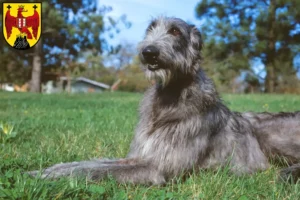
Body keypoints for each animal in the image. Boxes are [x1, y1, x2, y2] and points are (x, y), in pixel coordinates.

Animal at [28, 16, 300, 184]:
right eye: (150, 28)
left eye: (175, 31)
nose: (148, 52)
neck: (170, 97)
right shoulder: (139, 155)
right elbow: (92, 164)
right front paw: (49, 170)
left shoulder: (157, 168)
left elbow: (99, 171)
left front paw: (49, 177)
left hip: (267, 133)